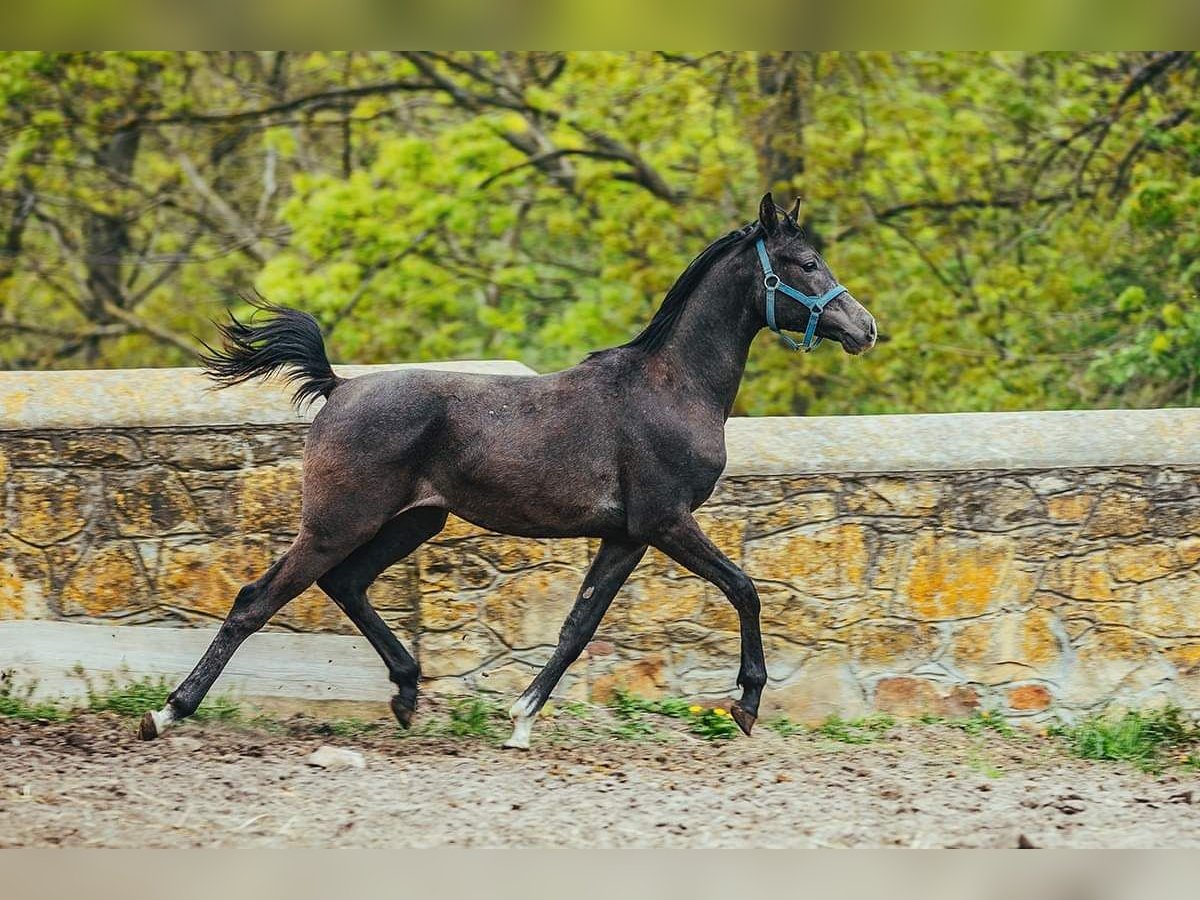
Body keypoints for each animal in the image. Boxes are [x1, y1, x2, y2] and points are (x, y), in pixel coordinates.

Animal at [140, 194, 878, 748]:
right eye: (806, 262)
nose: (866, 328)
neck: (672, 387)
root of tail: (338, 388)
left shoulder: (626, 535)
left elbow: (579, 626)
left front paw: (520, 719)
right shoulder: (666, 521)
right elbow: (745, 589)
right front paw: (746, 703)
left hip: (414, 522)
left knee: (345, 585)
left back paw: (407, 693)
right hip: (337, 521)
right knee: (255, 600)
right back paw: (166, 713)